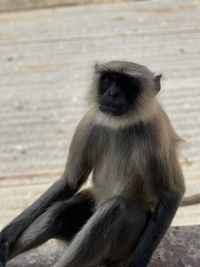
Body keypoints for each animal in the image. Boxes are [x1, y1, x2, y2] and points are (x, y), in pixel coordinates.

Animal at [0, 61, 186, 267]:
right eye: (108, 79)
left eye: (128, 84)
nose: (112, 94)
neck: (120, 125)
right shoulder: (89, 121)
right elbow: (70, 182)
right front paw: (7, 234)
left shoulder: (155, 132)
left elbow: (171, 196)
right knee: (57, 213)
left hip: (123, 249)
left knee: (116, 209)